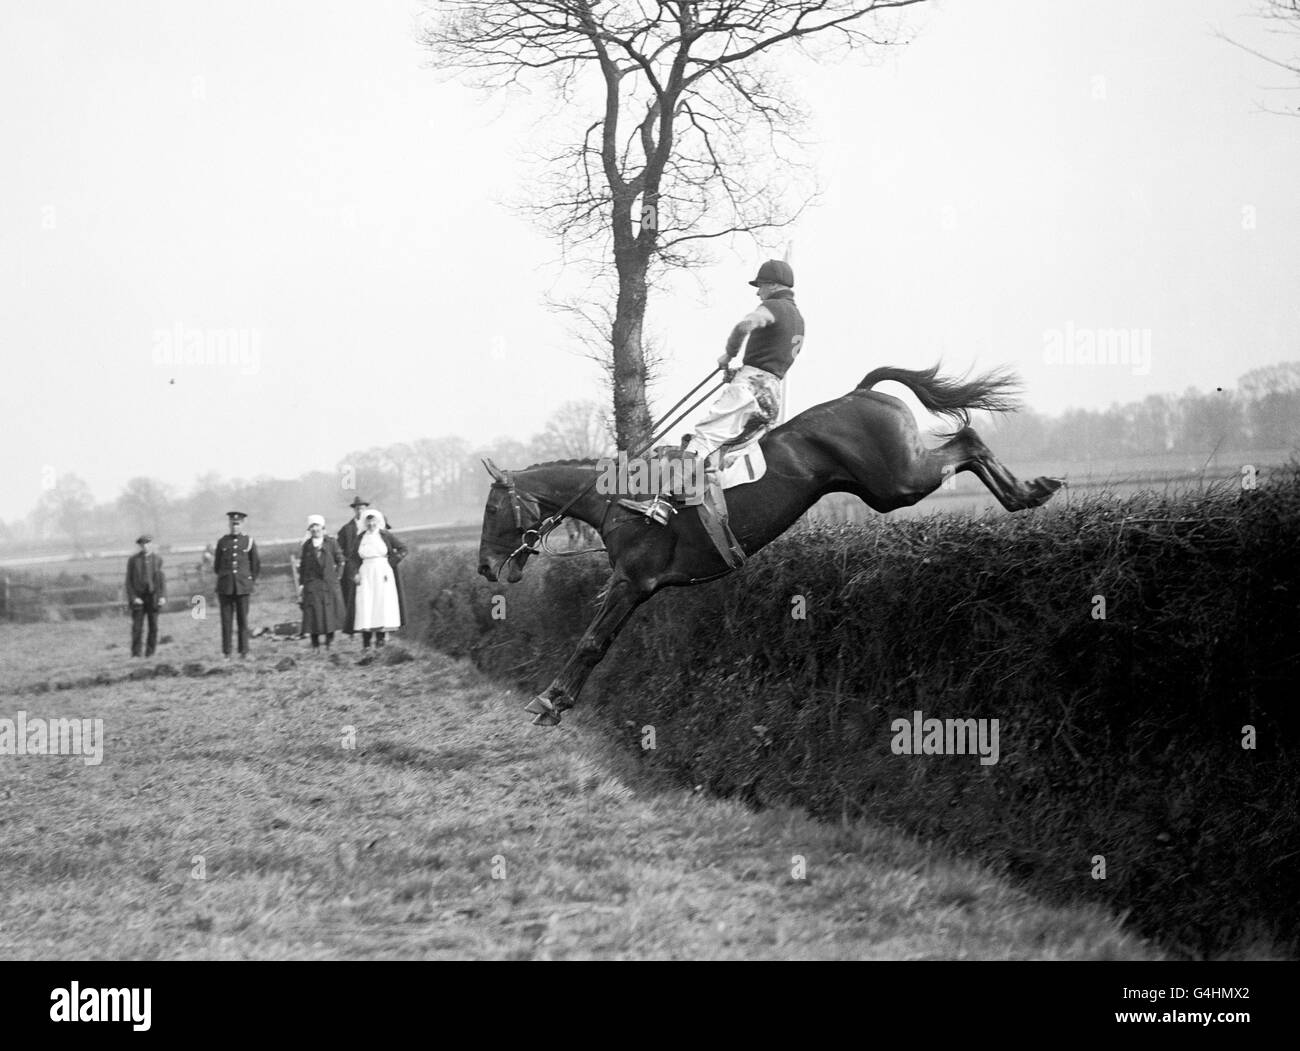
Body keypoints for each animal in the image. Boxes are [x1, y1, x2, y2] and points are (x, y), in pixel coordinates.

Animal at [473, 364, 1060, 723]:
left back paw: (1029, 491)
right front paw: (557, 699)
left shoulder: (632, 583)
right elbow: (598, 639)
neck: (621, 500)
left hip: (898, 481)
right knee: (965, 443)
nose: (484, 567)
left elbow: (593, 641)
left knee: (967, 439)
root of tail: (862, 391)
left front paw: (550, 701)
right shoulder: (634, 587)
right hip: (886, 486)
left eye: (492, 509)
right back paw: (1028, 492)